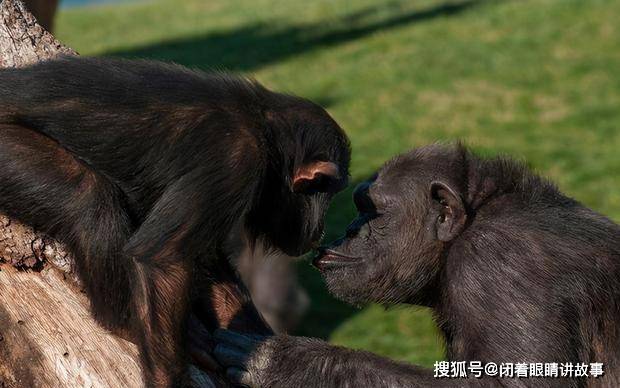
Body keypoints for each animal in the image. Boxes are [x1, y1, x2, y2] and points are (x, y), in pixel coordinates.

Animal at [0, 57, 348, 388]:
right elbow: (164, 258)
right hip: (10, 151)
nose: (321, 228)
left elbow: (202, 255)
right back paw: (125, 322)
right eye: (330, 192)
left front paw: (267, 353)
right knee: (90, 202)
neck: (266, 131)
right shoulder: (236, 159)